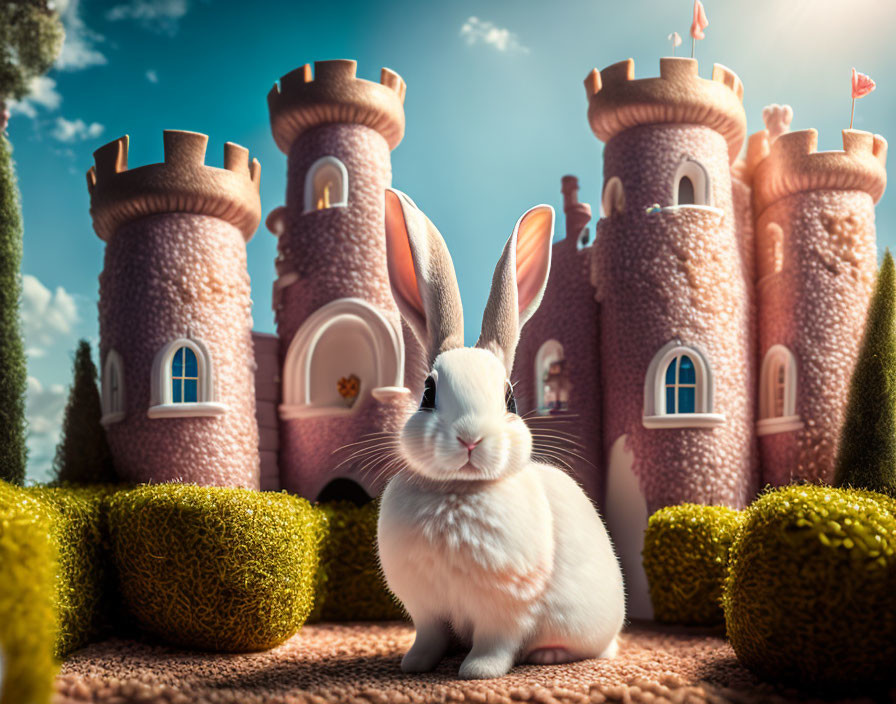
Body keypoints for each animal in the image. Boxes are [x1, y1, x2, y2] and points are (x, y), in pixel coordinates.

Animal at [376, 186, 624, 676]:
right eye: (428, 392)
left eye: (510, 399)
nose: (470, 439)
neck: (458, 491)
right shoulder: (427, 611)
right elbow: (429, 639)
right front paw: (413, 665)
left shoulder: (507, 610)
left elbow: (496, 644)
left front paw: (477, 672)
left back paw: (548, 654)